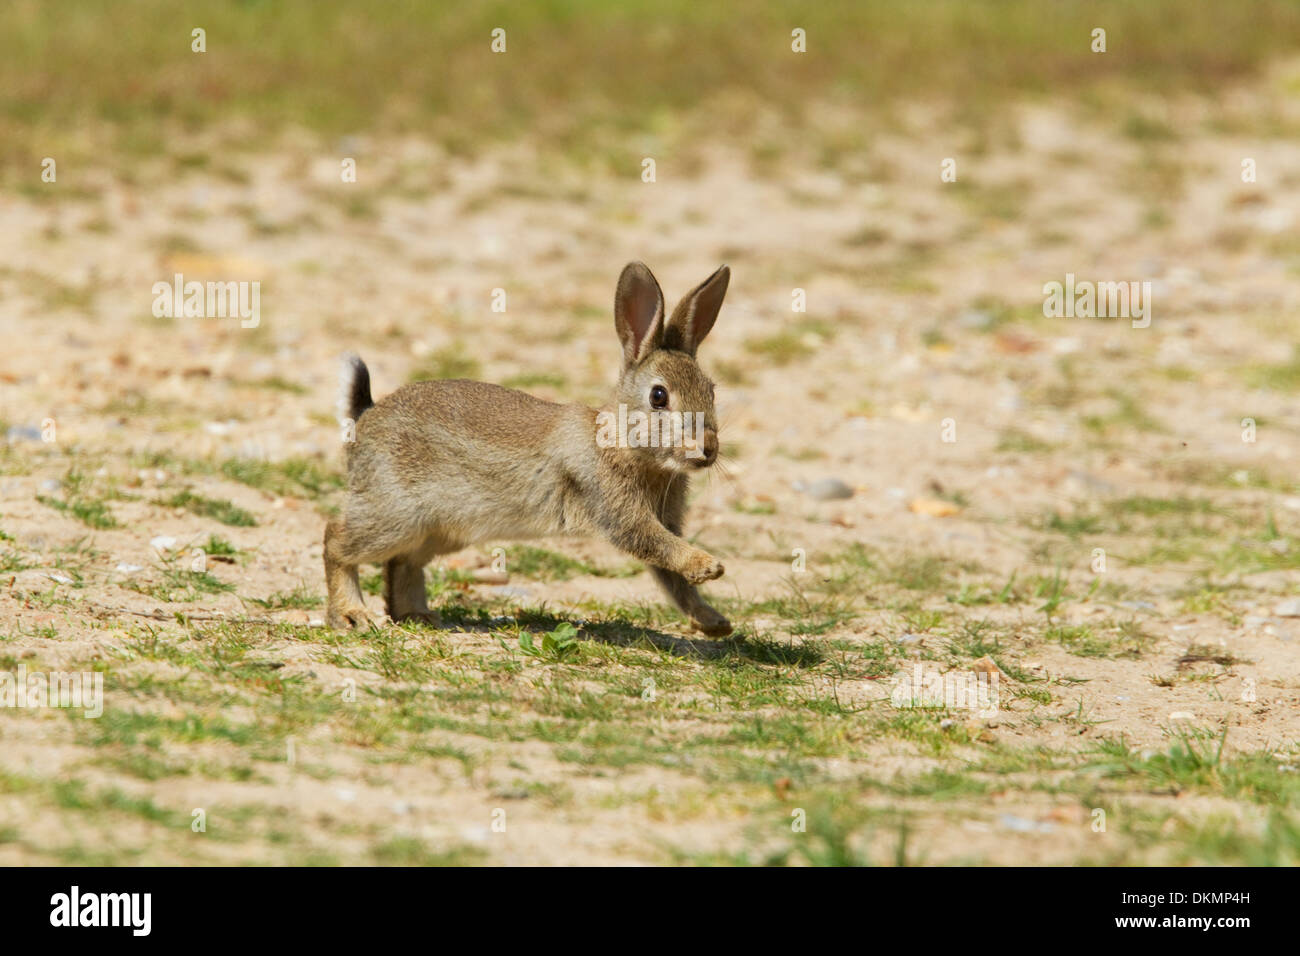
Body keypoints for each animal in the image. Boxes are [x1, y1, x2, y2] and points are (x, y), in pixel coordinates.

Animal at [324, 261, 734, 637]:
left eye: (711, 391)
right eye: (659, 396)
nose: (708, 449)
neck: (624, 444)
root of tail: (364, 418)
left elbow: (672, 579)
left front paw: (714, 622)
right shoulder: (615, 507)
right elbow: (656, 545)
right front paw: (709, 566)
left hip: (438, 531)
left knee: (401, 563)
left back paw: (417, 616)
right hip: (396, 515)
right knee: (337, 540)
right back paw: (352, 614)